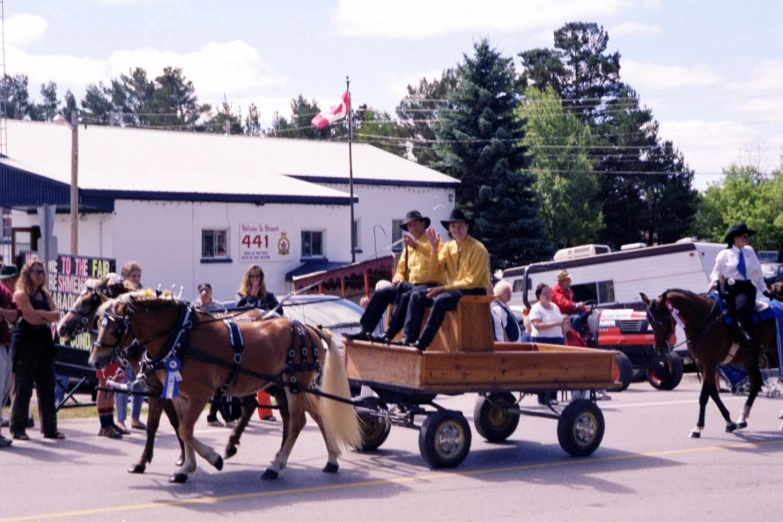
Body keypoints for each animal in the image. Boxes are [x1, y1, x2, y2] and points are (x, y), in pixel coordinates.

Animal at [57, 276, 272, 472]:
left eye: (88, 301)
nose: (61, 327)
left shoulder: (163, 390)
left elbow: (171, 423)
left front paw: (181, 458)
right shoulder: (160, 389)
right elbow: (166, 423)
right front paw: (152, 460)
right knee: (250, 404)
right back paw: (231, 445)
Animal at [90, 290, 362, 482]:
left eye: (115, 327)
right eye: (98, 322)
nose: (95, 361)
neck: (181, 337)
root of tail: (309, 328)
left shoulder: (200, 394)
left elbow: (186, 429)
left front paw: (214, 458)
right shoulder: (178, 395)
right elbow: (182, 429)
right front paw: (186, 468)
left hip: (295, 384)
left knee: (297, 421)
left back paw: (276, 466)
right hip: (289, 384)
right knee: (314, 415)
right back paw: (330, 460)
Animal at [644, 288, 776, 434]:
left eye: (664, 319)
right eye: (650, 321)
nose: (660, 349)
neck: (702, 320)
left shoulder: (710, 363)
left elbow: (704, 395)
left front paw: (698, 427)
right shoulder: (701, 364)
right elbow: (712, 392)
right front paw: (729, 422)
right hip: (749, 359)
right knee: (756, 383)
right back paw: (742, 418)